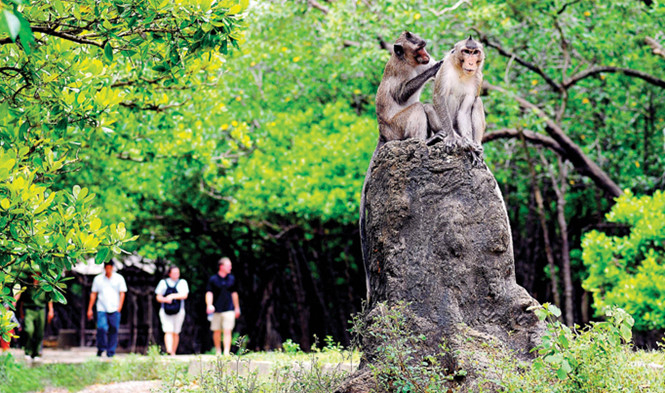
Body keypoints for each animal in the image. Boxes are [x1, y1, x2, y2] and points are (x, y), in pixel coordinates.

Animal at [358, 31, 440, 300]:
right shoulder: (401, 72)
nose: (427, 56)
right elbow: (402, 94)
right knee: (416, 108)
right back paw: (424, 141)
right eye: (419, 48)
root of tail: (383, 134)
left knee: (424, 107)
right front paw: (438, 66)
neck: (410, 63)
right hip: (397, 128)